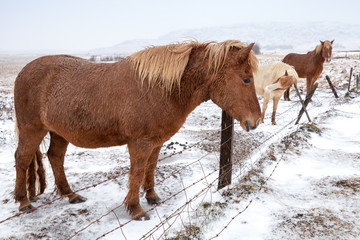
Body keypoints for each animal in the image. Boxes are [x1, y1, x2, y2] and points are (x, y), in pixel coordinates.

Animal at [14, 40, 262, 220]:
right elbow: (137, 171)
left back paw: (71, 195)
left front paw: (152, 196)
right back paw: (24, 202)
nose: (256, 120)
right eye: (246, 80)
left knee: (55, 157)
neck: (160, 89)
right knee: (22, 158)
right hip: (32, 130)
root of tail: (23, 72)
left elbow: (150, 168)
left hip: (59, 132)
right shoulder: (139, 143)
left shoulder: (157, 141)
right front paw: (136, 209)